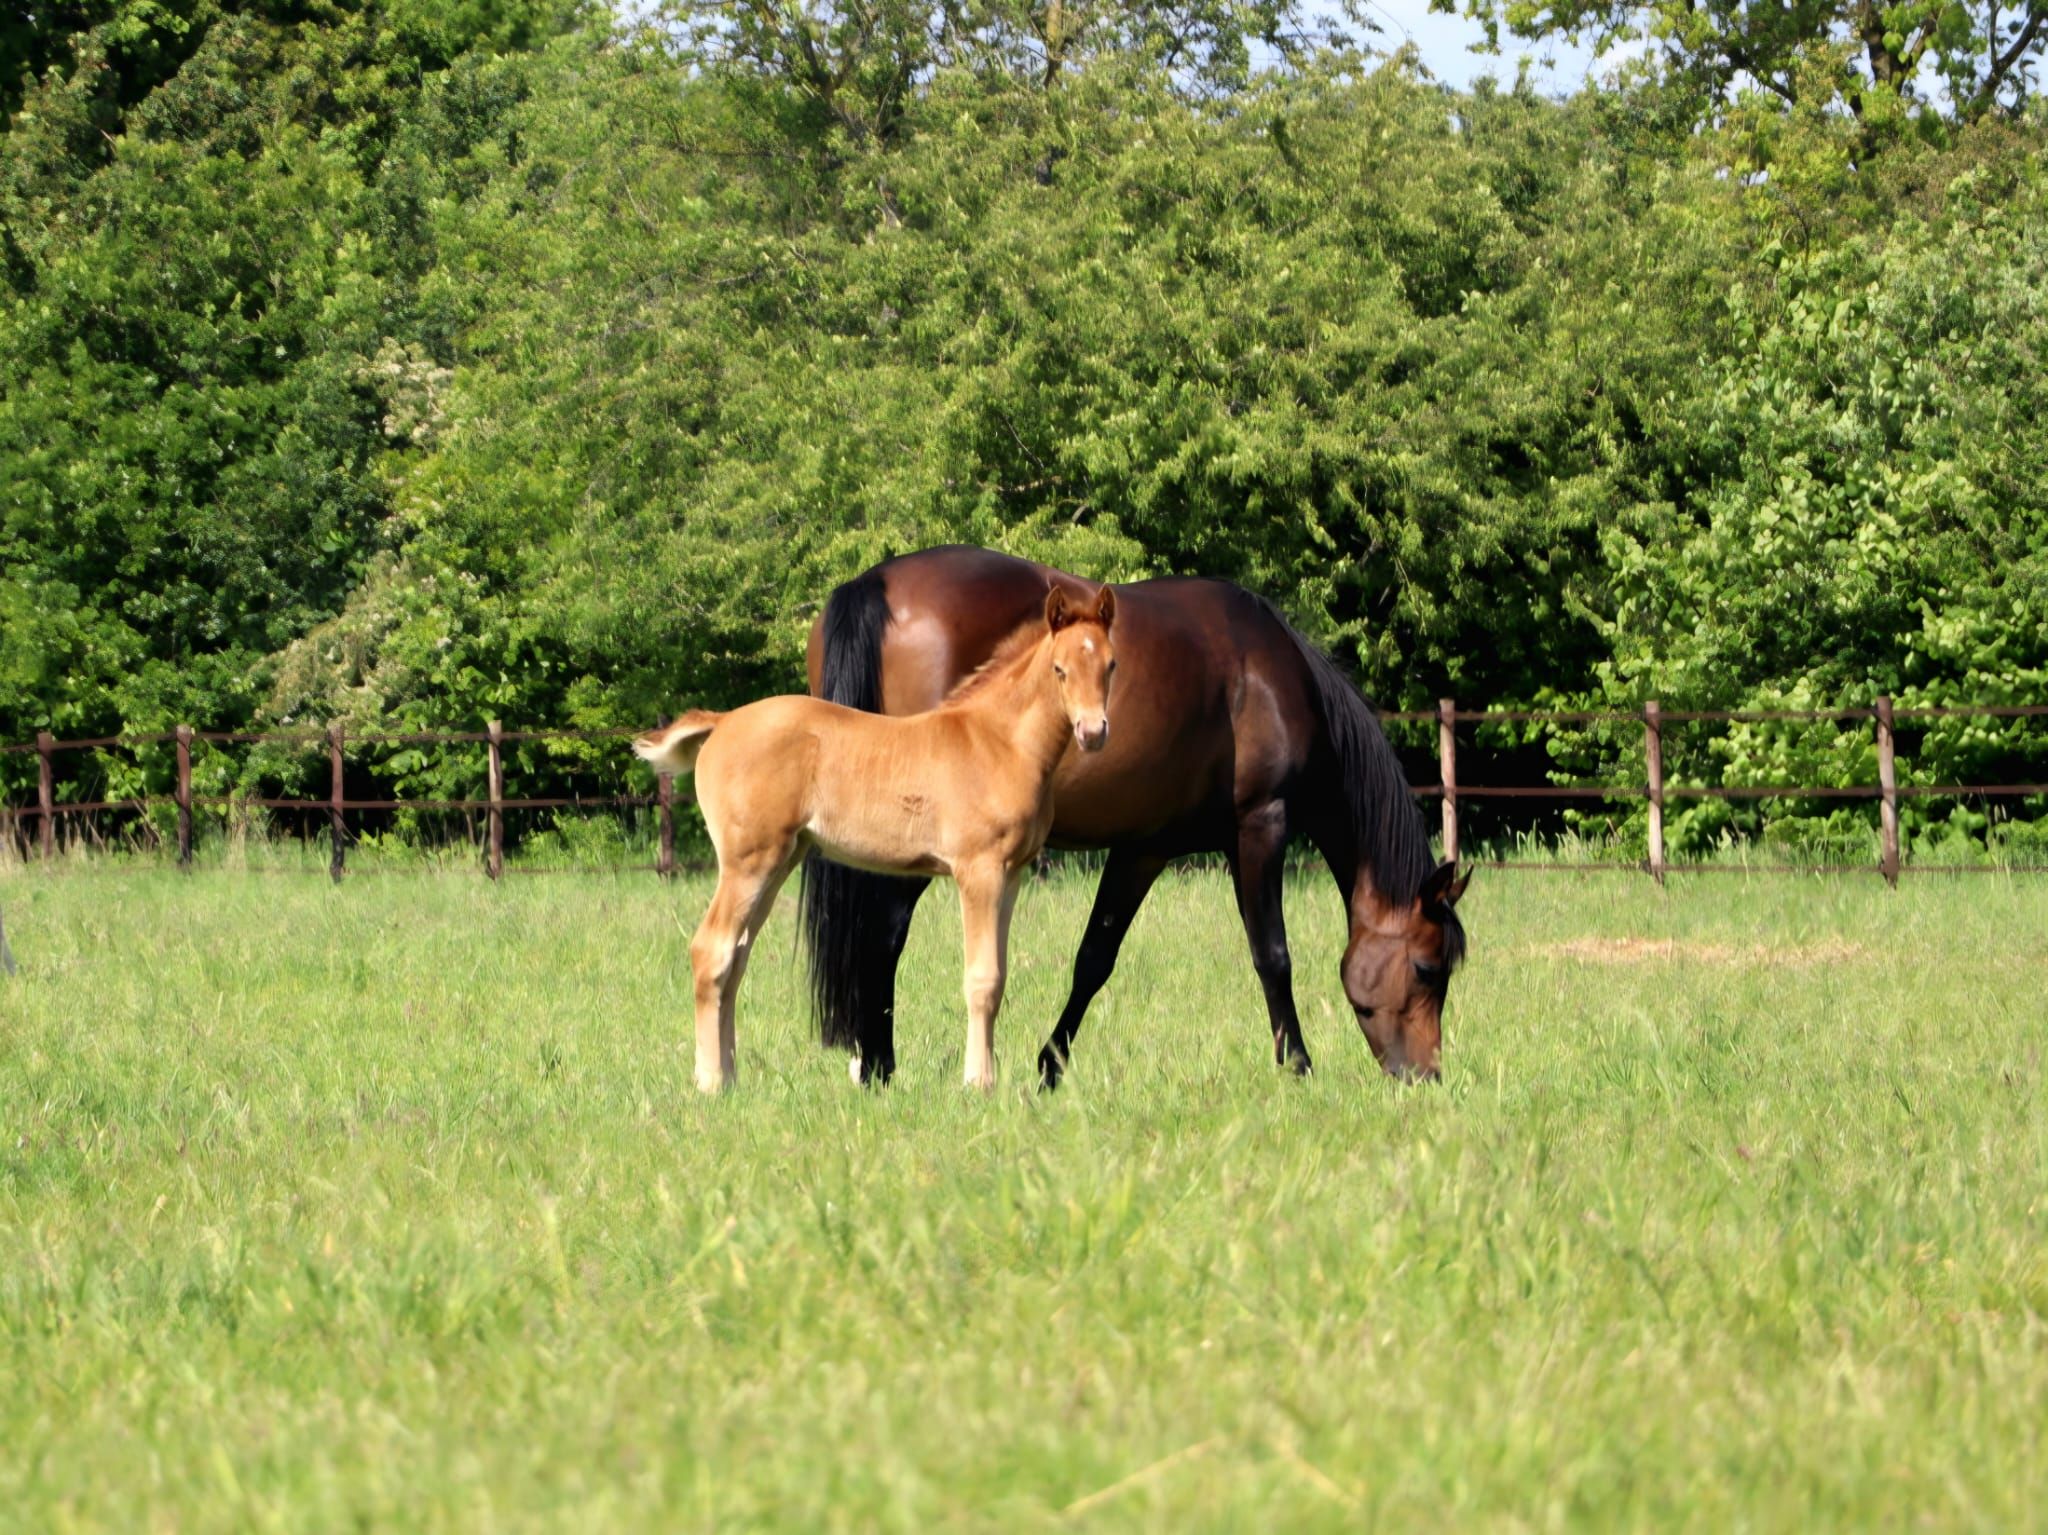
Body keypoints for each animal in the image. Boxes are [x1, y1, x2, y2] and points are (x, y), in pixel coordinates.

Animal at [636, 583, 1118, 1092]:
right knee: (711, 951)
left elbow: (1000, 976)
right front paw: (978, 1083)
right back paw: (711, 1082)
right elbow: (982, 979)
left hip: (781, 858)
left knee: (736, 956)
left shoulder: (1011, 875)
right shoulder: (979, 870)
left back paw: (729, 1076)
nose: (1092, 732)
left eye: (1111, 664)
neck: (999, 742)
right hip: (749, 861)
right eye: (1059, 669)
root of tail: (722, 721)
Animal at [801, 546, 1469, 1088]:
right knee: (884, 932)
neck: (1267, 676)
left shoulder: (1144, 846)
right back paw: (879, 1068)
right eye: (1427, 967)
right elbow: (1273, 954)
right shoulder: (1261, 824)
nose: (1426, 1076)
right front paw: (1299, 1067)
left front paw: (1050, 1067)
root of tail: (877, 582)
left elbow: (1094, 959)